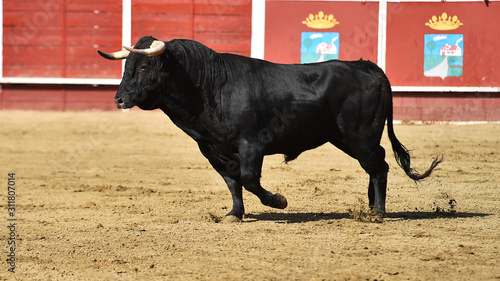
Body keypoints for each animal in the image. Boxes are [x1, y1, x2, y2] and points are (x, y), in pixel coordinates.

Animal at [97, 35, 442, 221]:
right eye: (126, 66)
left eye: (143, 67)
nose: (119, 98)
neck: (209, 86)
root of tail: (368, 67)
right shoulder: (214, 150)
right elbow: (232, 182)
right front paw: (234, 214)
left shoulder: (252, 145)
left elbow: (250, 179)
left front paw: (279, 201)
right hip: (347, 139)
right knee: (376, 165)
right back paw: (370, 207)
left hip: (360, 136)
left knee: (380, 166)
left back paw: (377, 212)